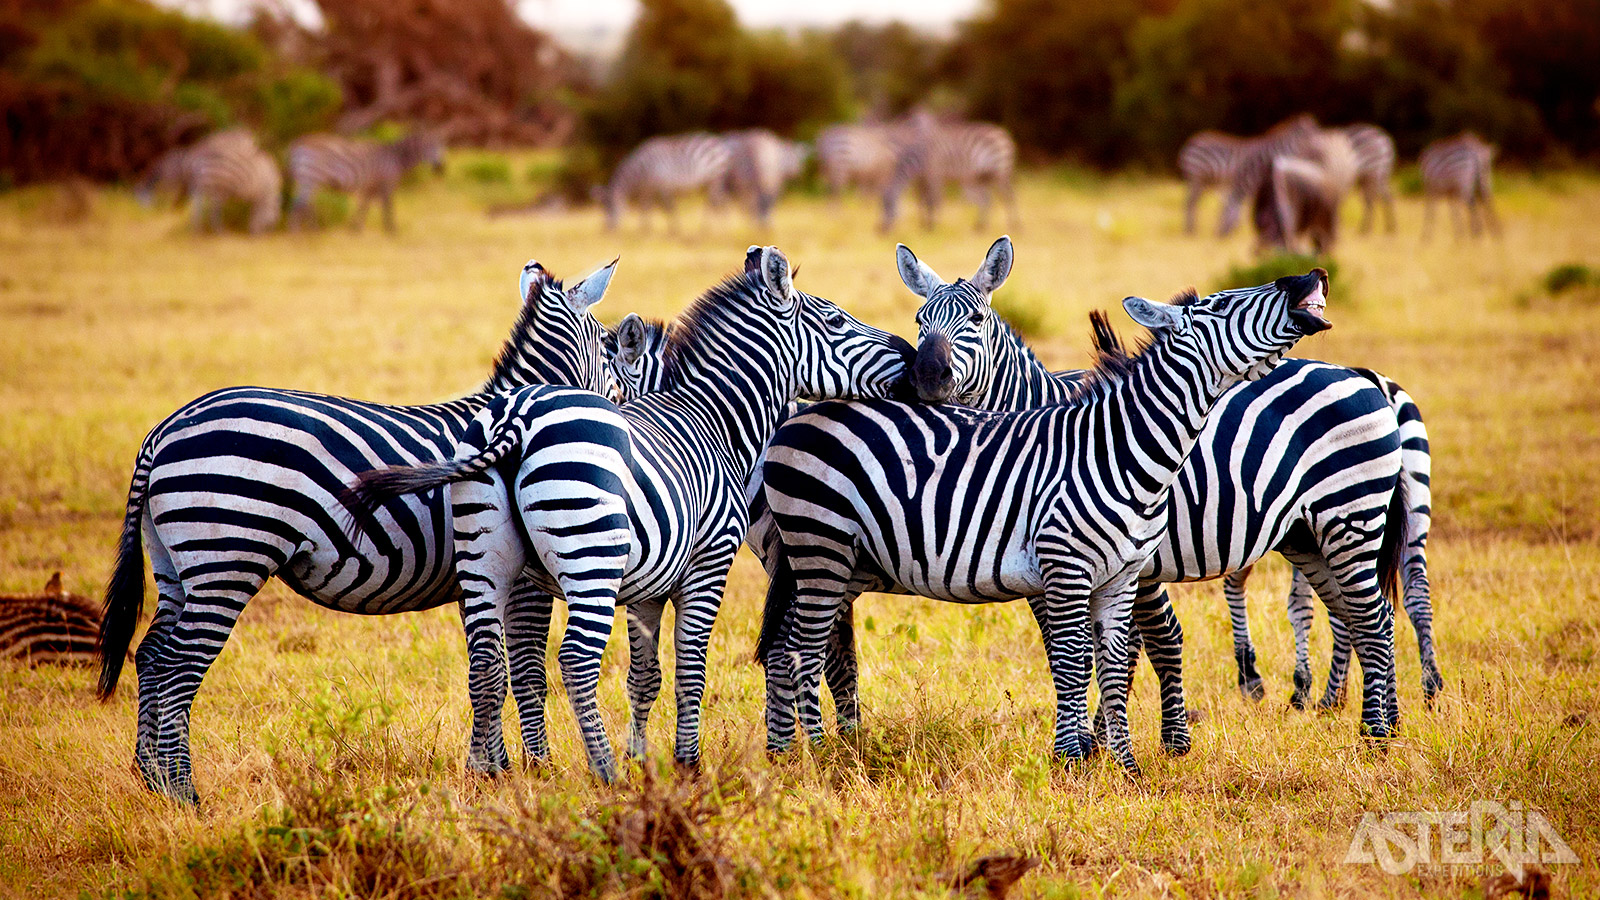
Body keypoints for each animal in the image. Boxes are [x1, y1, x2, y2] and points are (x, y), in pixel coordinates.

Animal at [93, 256, 617, 800]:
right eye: (609, 345)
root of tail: (163, 430)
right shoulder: (517, 579)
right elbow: (525, 669)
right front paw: (533, 770)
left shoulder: (480, 579)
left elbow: (491, 663)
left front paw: (501, 766)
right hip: (227, 559)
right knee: (178, 666)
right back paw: (184, 791)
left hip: (177, 563)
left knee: (151, 654)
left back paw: (152, 779)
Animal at [288, 132, 444, 232]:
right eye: (429, 147)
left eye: (441, 147)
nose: (440, 168)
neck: (395, 158)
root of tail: (296, 144)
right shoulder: (387, 182)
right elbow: (388, 207)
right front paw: (392, 231)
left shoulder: (371, 186)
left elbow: (364, 207)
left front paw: (355, 229)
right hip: (311, 177)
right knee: (299, 205)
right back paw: (297, 238)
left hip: (309, 180)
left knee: (306, 205)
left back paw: (312, 232)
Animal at [344, 245, 915, 778]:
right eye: (837, 321)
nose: (911, 358)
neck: (715, 418)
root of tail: (516, 419)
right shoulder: (709, 565)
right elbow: (691, 669)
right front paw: (686, 765)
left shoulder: (648, 586)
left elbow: (645, 676)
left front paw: (643, 761)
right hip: (589, 560)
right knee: (574, 660)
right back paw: (603, 774)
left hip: (486, 560)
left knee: (486, 661)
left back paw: (488, 774)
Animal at [595, 132, 732, 232]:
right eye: (604, 209)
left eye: (611, 208)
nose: (606, 230)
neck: (642, 169)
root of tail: (717, 141)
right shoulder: (647, 190)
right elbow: (645, 207)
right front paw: (644, 229)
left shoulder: (662, 186)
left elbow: (668, 208)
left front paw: (674, 230)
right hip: (711, 181)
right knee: (720, 201)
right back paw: (721, 226)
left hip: (715, 177)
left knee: (714, 202)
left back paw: (709, 228)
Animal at [883, 115, 1017, 232]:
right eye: (882, 207)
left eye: (889, 205)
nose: (881, 230)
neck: (919, 156)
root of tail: (1001, 132)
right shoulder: (921, 180)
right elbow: (921, 201)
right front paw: (923, 225)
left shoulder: (934, 174)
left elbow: (933, 200)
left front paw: (932, 226)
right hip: (978, 178)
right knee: (986, 199)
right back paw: (980, 227)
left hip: (1000, 171)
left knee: (1008, 197)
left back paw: (1014, 226)